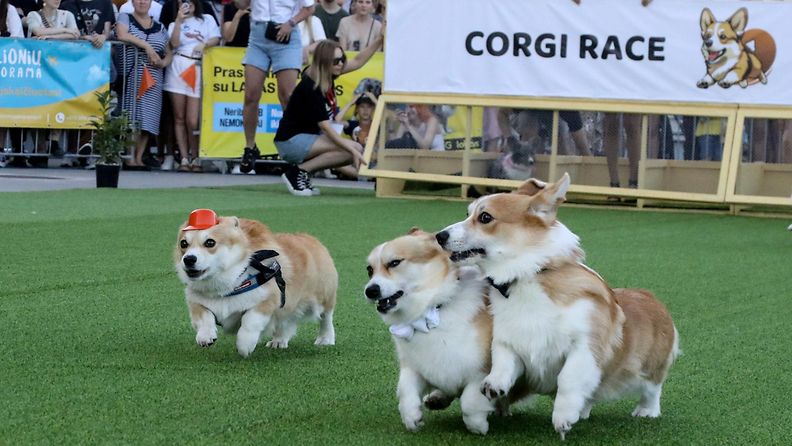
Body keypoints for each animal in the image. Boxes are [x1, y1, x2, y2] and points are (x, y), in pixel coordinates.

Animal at [175, 210, 336, 358]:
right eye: (184, 243)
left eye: (210, 242)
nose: (188, 259)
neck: (227, 285)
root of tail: (311, 238)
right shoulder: (195, 300)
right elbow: (203, 316)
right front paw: (206, 336)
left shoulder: (267, 300)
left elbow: (250, 321)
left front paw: (245, 345)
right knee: (286, 320)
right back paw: (279, 341)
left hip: (322, 297)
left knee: (326, 317)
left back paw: (325, 339)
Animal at [364, 230, 504, 436]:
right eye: (370, 270)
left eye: (395, 262)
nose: (370, 291)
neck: (432, 309)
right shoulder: (412, 367)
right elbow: (405, 390)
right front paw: (411, 417)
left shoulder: (480, 371)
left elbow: (469, 401)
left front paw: (478, 426)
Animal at [436, 174, 676, 440]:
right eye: (468, 213)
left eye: (485, 217)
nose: (439, 236)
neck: (528, 277)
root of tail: (649, 295)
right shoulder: (510, 341)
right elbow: (503, 361)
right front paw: (494, 384)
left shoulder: (586, 346)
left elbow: (568, 379)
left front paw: (563, 417)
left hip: (647, 368)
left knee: (652, 388)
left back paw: (646, 410)